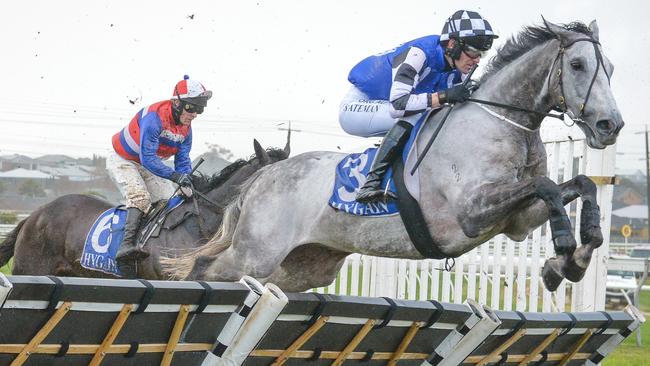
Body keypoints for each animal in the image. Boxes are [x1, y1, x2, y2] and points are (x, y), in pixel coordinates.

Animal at [167, 20, 624, 294]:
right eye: (578, 64)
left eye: (611, 68)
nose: (610, 125)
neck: (504, 122)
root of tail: (262, 177)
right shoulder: (471, 213)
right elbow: (547, 185)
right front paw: (564, 247)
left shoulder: (516, 222)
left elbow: (576, 184)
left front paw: (573, 258)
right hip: (256, 252)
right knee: (205, 266)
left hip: (300, 265)